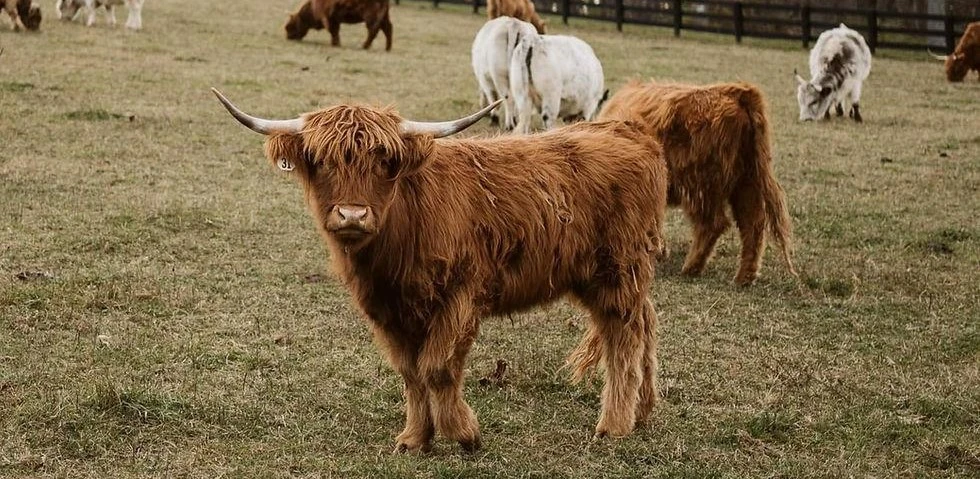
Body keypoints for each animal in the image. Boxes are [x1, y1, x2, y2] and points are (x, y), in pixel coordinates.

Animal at [212, 88, 669, 452]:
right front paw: (415, 438)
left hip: (618, 270)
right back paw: (644, 411)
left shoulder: (462, 295)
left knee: (624, 336)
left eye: (384, 161)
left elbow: (437, 366)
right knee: (644, 323)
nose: (352, 214)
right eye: (320, 160)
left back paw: (613, 426)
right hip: (601, 276)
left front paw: (464, 434)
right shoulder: (387, 309)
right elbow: (411, 372)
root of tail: (627, 129)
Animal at [599, 80, 796, 287]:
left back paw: (691, 267)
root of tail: (734, 91)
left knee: (713, 223)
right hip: (746, 180)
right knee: (753, 224)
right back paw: (744, 277)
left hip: (699, 185)